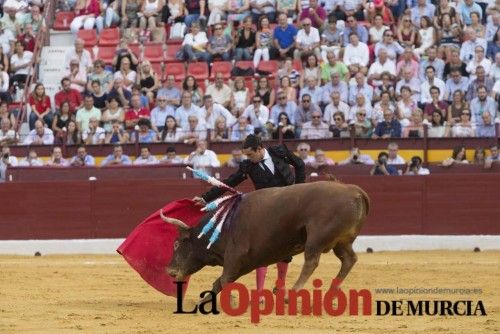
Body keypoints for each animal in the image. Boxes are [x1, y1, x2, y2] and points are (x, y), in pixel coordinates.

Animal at [162, 181, 370, 298]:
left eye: (177, 243)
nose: (170, 271)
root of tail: (353, 190)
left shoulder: (235, 256)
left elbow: (224, 279)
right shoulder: (246, 262)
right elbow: (219, 282)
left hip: (316, 238)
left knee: (311, 261)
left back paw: (292, 293)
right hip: (342, 241)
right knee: (349, 259)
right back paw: (331, 292)